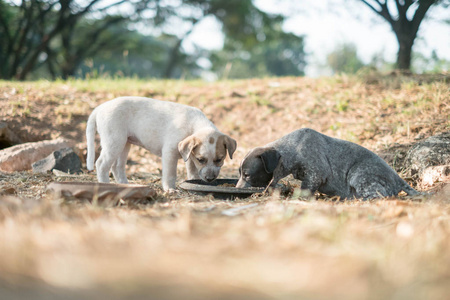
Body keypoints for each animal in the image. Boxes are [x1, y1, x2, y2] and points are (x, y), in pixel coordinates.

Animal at [85, 97, 237, 191]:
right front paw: (170, 189)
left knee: (117, 167)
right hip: (114, 142)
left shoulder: (189, 155)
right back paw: (105, 184)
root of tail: (100, 107)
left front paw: (194, 182)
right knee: (101, 164)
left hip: (124, 144)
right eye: (201, 160)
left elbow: (192, 171)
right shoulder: (170, 153)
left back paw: (125, 185)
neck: (194, 125)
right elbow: (170, 174)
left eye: (219, 159)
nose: (210, 179)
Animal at [236, 127, 418, 199]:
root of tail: (399, 179)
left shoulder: (315, 175)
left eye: (247, 175)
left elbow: (305, 189)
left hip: (359, 176)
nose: (237, 188)